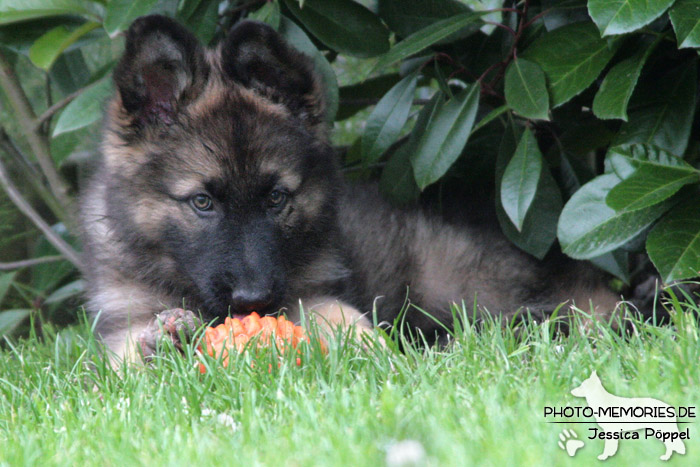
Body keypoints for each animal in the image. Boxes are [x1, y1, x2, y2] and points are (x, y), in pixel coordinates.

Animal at [80, 12, 616, 360]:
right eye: (202, 202)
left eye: (277, 198)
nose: (254, 299)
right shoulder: (122, 323)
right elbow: (128, 356)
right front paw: (166, 339)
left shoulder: (315, 292)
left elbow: (343, 321)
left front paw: (373, 355)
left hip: (463, 279)